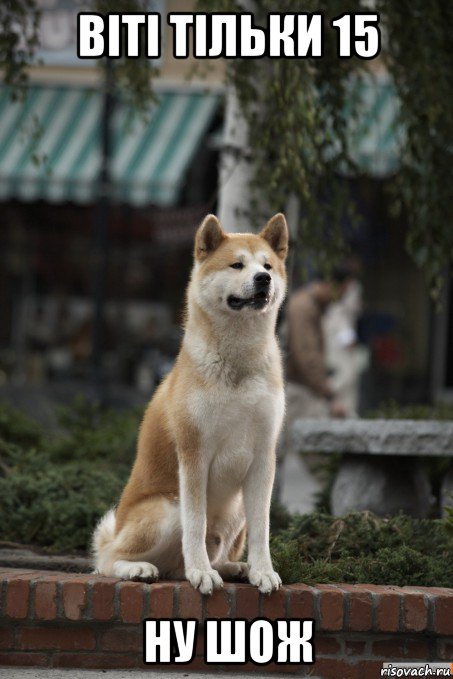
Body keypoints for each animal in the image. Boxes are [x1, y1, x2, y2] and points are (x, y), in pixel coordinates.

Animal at [93, 212, 288, 596]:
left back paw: (235, 568)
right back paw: (142, 568)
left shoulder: (263, 457)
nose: (263, 279)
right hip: (167, 508)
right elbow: (195, 526)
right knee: (108, 560)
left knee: (203, 558)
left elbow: (263, 530)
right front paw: (201, 573)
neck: (237, 364)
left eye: (268, 266)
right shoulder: (194, 454)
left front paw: (263, 571)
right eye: (237, 264)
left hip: (236, 509)